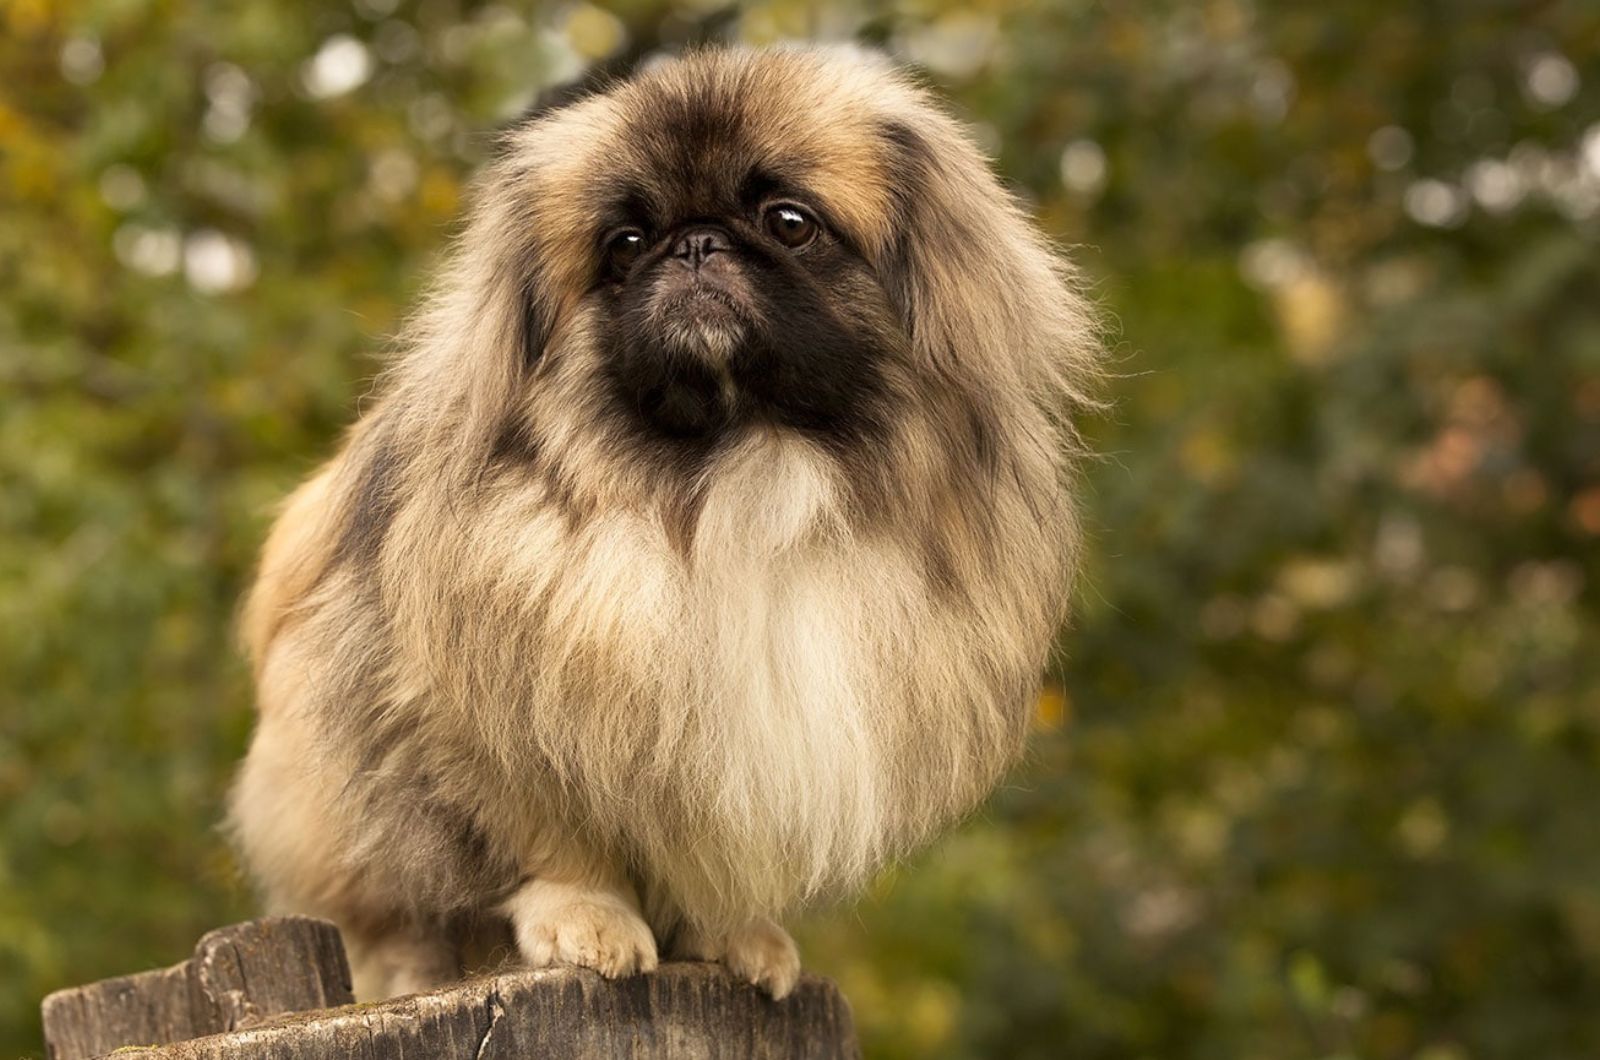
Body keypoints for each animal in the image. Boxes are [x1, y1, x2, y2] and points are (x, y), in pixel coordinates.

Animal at [228, 43, 1100, 1005]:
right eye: (626, 243)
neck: (740, 478)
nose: (695, 242)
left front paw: (734, 936)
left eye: (789, 221)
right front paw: (588, 916)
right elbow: (547, 835)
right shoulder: (479, 708)